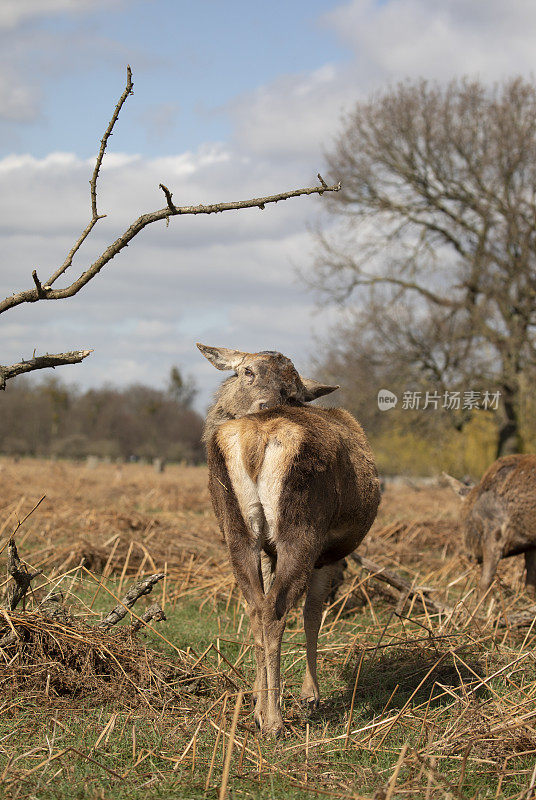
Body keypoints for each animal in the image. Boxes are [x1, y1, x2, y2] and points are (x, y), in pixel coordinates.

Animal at [198, 344, 382, 736]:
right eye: (246, 371)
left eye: (292, 391)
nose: (266, 403)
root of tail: (258, 436)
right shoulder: (328, 552)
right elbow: (314, 612)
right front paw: (311, 697)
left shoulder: (266, 549)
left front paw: (258, 699)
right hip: (301, 528)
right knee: (277, 611)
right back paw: (274, 721)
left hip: (237, 531)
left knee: (256, 606)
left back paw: (259, 711)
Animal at [444, 454, 536, 596]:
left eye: (465, 520)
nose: (470, 555)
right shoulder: (530, 543)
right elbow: (530, 585)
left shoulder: (494, 533)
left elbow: (484, 582)